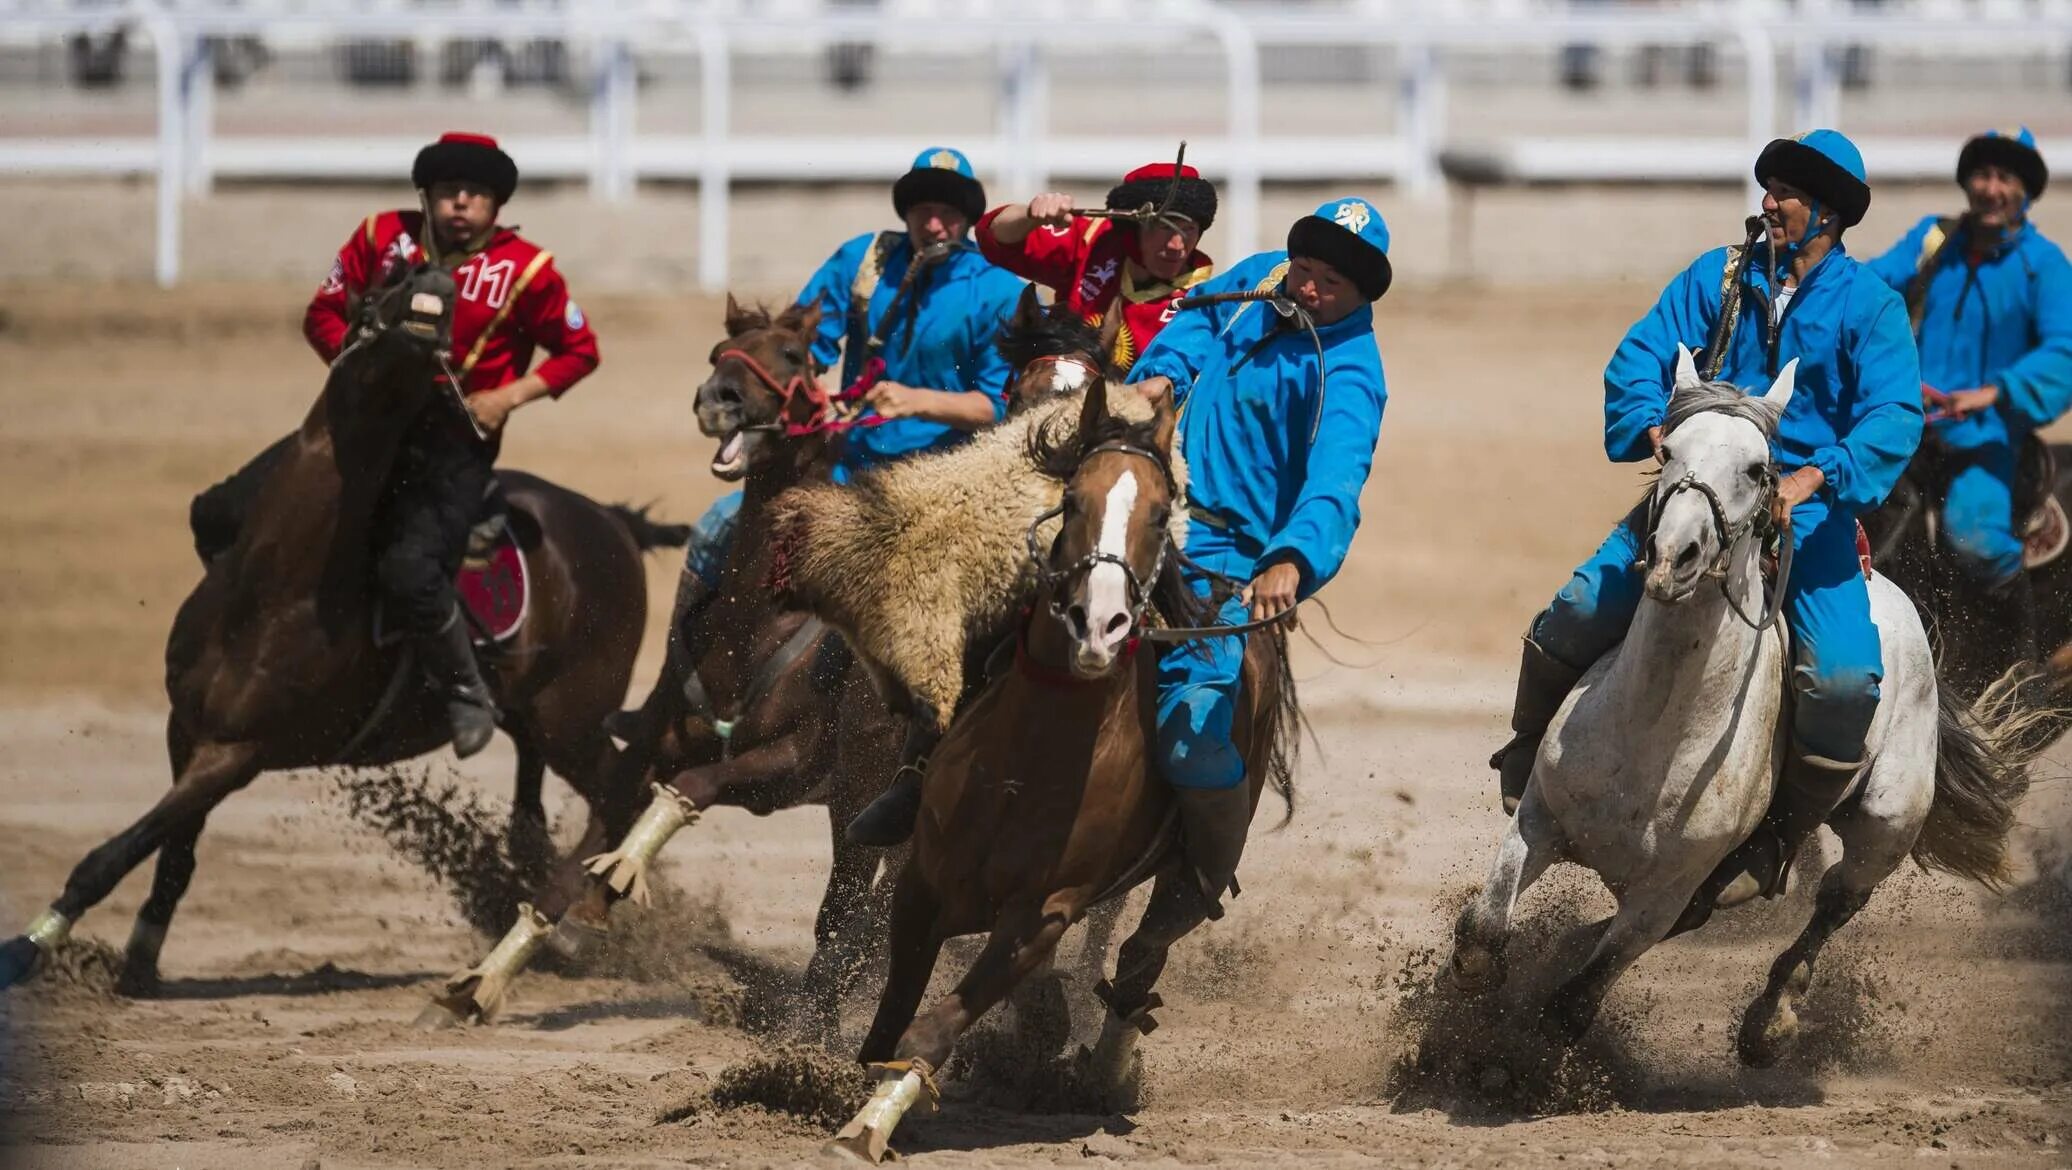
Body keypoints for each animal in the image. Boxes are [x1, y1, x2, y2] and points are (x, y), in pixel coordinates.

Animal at [0, 265, 675, 993]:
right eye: (385, 281)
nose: (434, 282)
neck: (275, 587)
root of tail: (611, 521)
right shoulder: (186, 730)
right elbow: (173, 854)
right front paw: (139, 962)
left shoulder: (236, 753)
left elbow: (114, 853)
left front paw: (27, 948)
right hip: (537, 721)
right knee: (535, 812)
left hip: (574, 720)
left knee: (621, 791)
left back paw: (573, 920)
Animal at [416, 296, 903, 1035]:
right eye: (718, 354)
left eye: (795, 356)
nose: (719, 399)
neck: (756, 627)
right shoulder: (642, 751)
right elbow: (568, 867)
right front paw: (481, 981)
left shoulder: (787, 765)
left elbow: (693, 787)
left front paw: (609, 887)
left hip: (865, 797)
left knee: (856, 910)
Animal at [824, 381, 1292, 1159]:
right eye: (1072, 499)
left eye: (1160, 513)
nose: (1096, 625)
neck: (1027, 762)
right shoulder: (921, 882)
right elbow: (889, 1023)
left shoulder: (1043, 915)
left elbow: (930, 1033)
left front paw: (865, 1128)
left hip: (1187, 876)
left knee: (1141, 958)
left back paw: (1105, 1073)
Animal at [1450, 349, 2030, 1068]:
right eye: (1667, 449)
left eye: (1759, 469)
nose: (1674, 556)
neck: (1653, 730)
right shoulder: (1537, 819)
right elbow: (1482, 936)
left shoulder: (1661, 896)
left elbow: (1573, 1005)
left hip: (1887, 824)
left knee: (1836, 901)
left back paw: (1770, 1021)